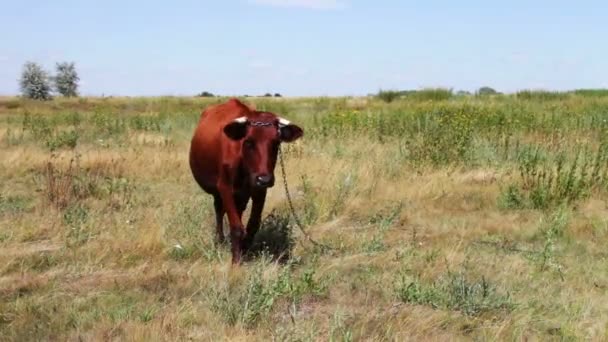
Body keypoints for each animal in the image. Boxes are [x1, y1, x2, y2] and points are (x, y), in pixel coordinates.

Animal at [189, 99, 304, 264]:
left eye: (276, 143)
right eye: (249, 142)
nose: (264, 179)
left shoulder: (260, 190)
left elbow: (253, 224)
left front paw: (245, 250)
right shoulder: (225, 187)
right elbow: (236, 227)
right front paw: (236, 262)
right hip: (219, 192)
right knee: (219, 210)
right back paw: (220, 241)